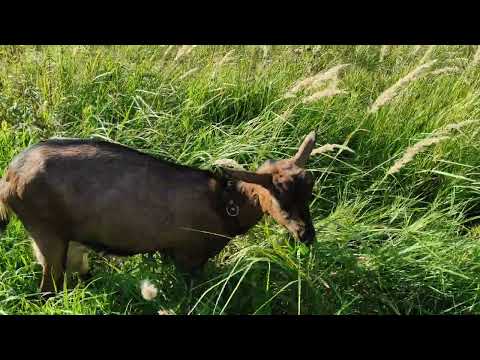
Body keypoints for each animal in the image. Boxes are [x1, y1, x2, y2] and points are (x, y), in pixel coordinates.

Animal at [0, 132, 316, 296]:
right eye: (279, 200)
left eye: (309, 193)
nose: (306, 235)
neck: (225, 205)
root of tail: (9, 179)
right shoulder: (189, 255)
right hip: (45, 230)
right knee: (47, 288)